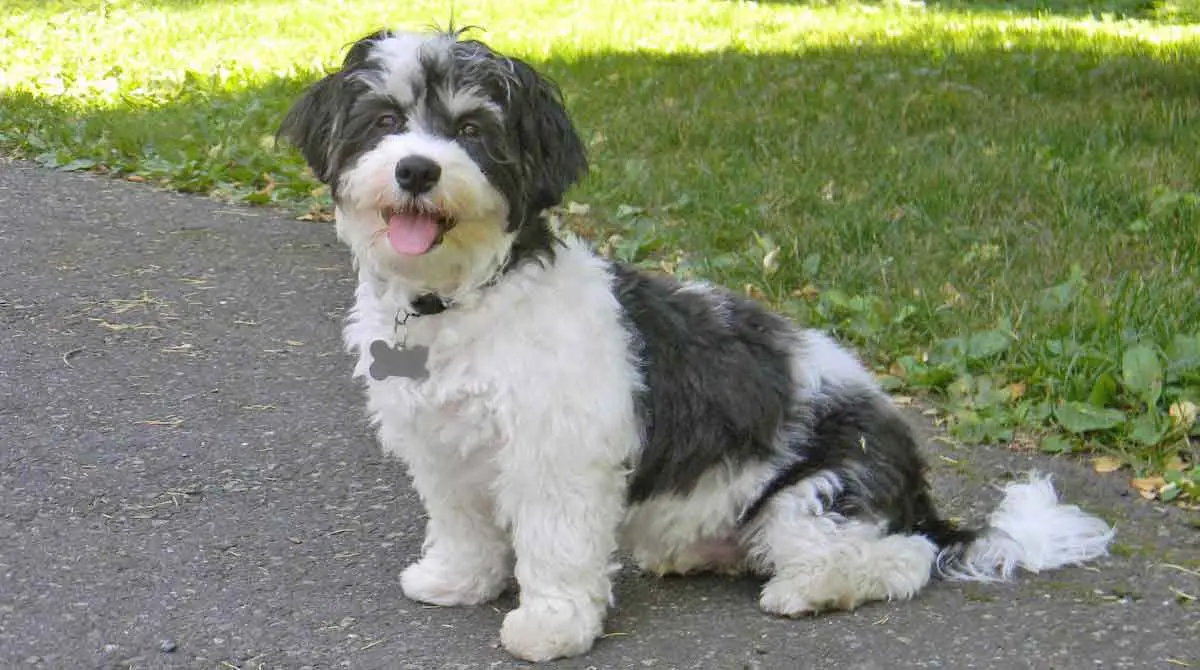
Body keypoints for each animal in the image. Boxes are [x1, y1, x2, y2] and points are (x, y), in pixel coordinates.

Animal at [280, 28, 1113, 662]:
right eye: (384, 121)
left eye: (474, 131)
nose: (417, 169)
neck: (465, 295)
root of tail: (918, 492)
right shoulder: (441, 445)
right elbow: (461, 523)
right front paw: (456, 579)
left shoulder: (557, 458)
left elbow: (555, 544)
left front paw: (550, 625)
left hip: (815, 498)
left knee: (898, 558)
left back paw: (810, 588)